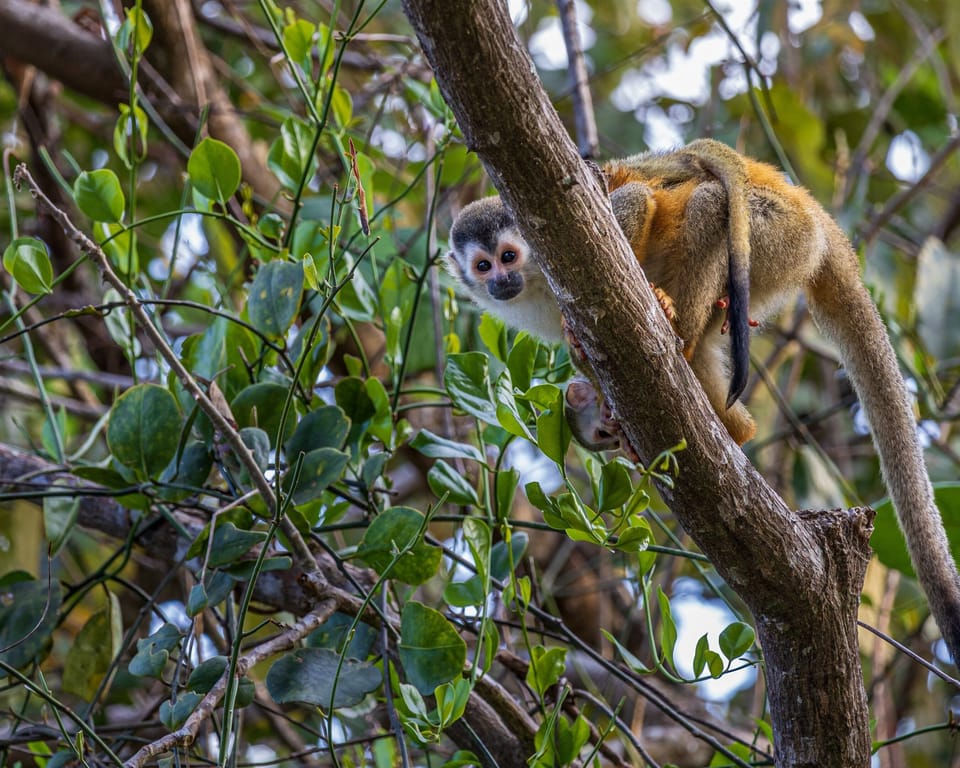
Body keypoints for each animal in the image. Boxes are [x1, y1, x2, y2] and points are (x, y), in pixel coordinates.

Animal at [446, 139, 960, 666]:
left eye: (508, 256)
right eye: (483, 266)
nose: (498, 282)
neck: (534, 285)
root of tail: (816, 217)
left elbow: (633, 204)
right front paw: (612, 413)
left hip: (775, 238)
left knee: (711, 206)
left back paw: (677, 327)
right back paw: (729, 423)